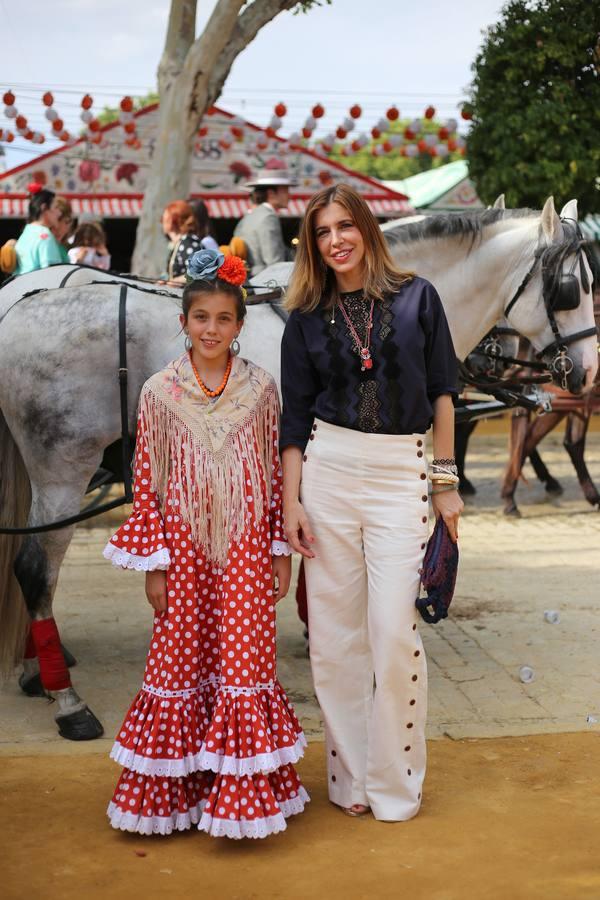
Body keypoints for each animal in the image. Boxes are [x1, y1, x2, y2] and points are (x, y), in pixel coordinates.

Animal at [0, 197, 596, 740]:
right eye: (571, 288)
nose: (587, 371)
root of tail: (16, 314)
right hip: (64, 466)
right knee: (34, 568)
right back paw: (66, 700)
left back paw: (36, 669)